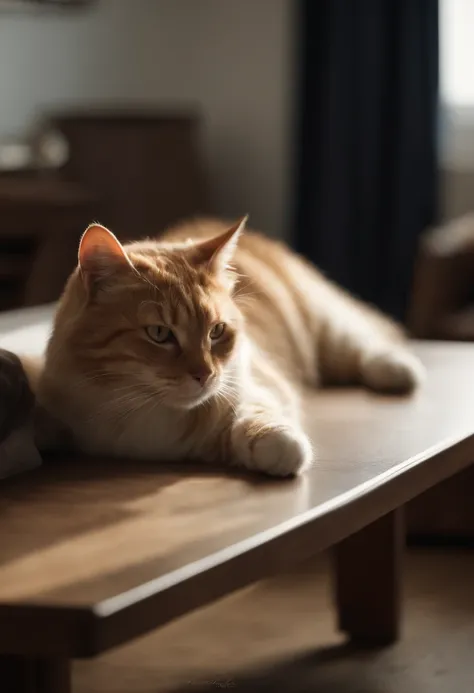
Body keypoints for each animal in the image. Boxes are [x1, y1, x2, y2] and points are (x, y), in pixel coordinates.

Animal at [28, 216, 422, 476]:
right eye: (159, 333)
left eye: (216, 331)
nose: (204, 375)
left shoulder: (254, 384)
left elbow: (258, 418)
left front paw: (281, 445)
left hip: (323, 319)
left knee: (363, 341)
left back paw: (399, 371)